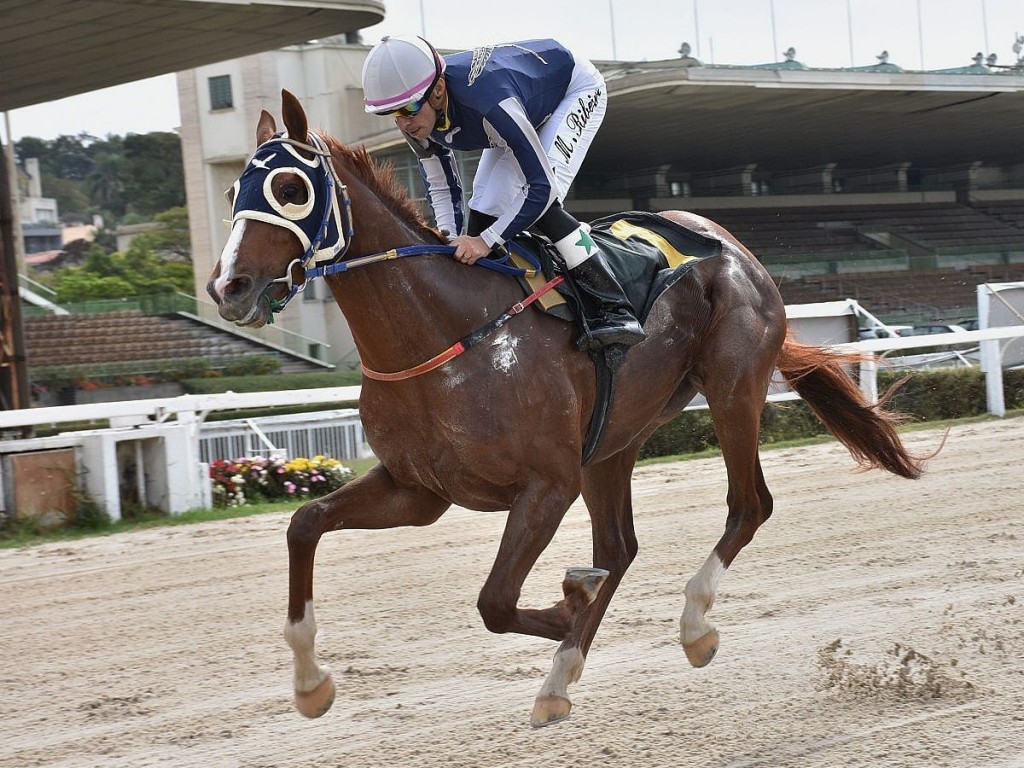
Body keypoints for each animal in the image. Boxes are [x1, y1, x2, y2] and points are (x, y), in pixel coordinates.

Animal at [207, 91, 929, 729]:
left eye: (292, 189)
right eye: (233, 192)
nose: (228, 287)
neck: (445, 332)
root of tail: (726, 240)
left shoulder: (546, 485)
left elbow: (496, 601)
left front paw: (569, 598)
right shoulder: (418, 489)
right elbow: (303, 523)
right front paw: (310, 684)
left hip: (733, 389)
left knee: (747, 506)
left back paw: (691, 625)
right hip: (615, 439)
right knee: (621, 546)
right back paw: (558, 681)